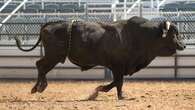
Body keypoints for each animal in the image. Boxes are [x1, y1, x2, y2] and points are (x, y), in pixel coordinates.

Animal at [14, 16, 185, 99]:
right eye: (173, 34)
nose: (183, 45)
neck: (139, 35)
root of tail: (50, 24)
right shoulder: (117, 66)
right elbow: (118, 82)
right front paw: (107, 92)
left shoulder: (119, 67)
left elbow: (117, 82)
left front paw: (102, 91)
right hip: (53, 56)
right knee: (41, 66)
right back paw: (39, 87)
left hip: (53, 56)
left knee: (40, 65)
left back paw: (38, 87)